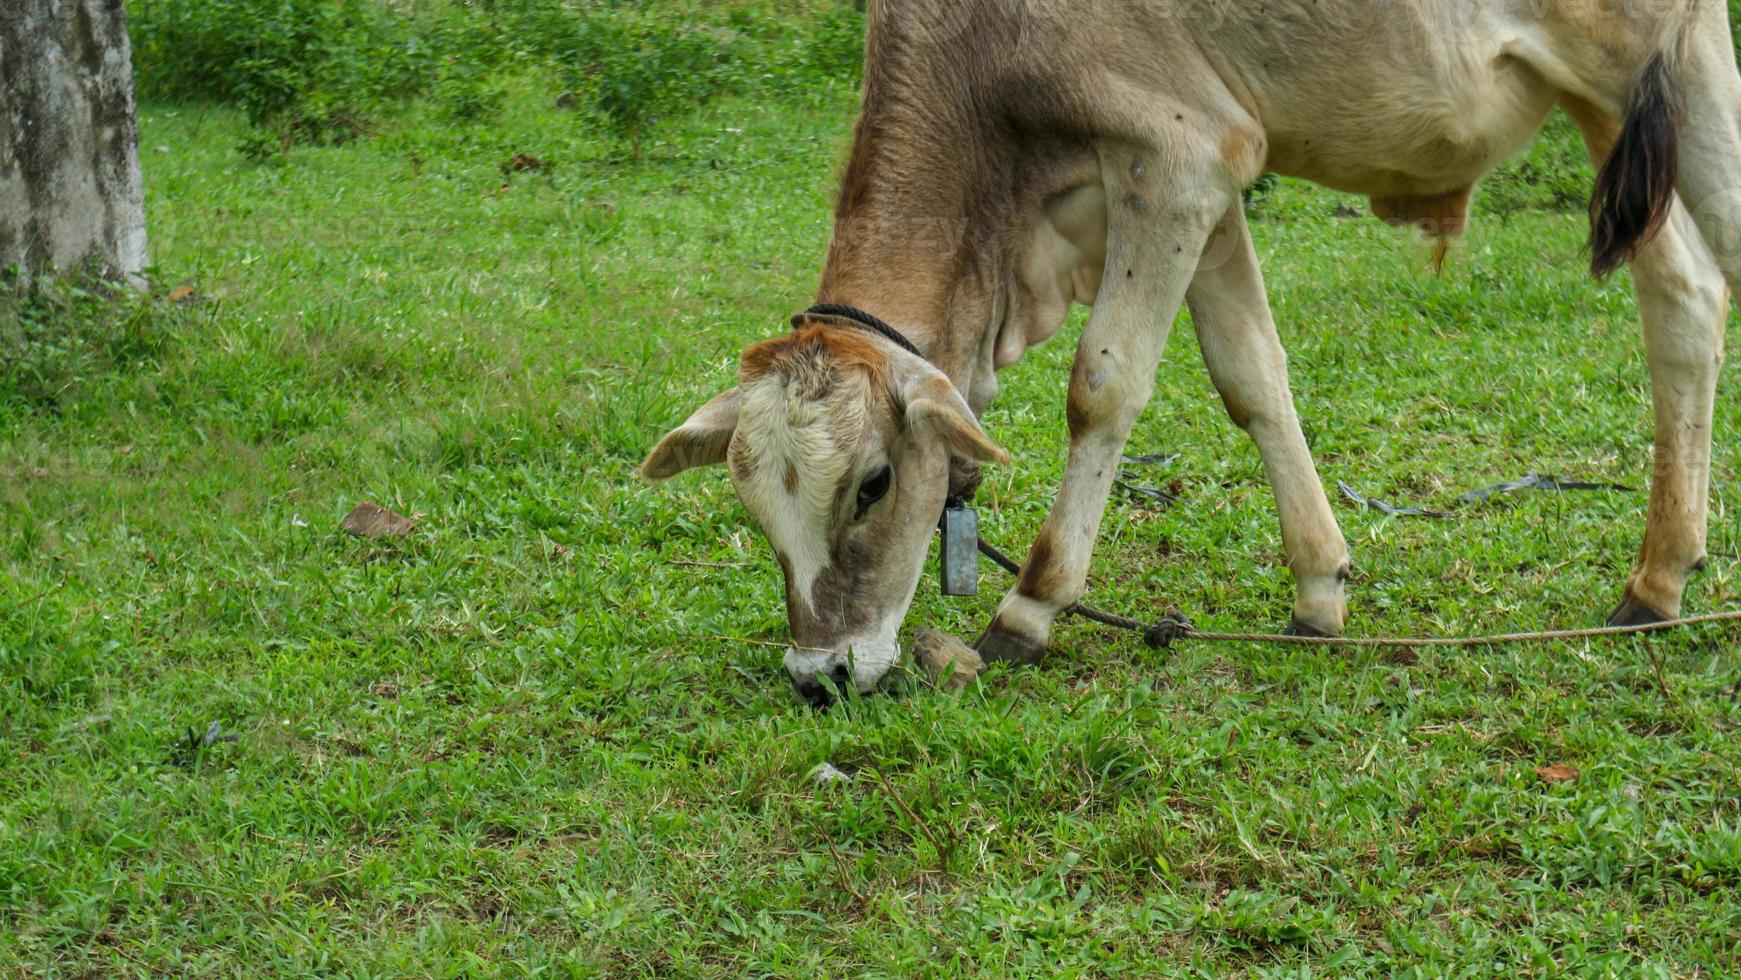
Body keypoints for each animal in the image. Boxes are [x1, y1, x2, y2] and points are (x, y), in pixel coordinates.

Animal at [647, 0, 1741, 706]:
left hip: (1671, 65)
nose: (820, 678)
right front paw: (1318, 592)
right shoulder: (1207, 181)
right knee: (1683, 301)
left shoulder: (1174, 161)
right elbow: (1249, 373)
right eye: (755, 508)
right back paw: (1655, 580)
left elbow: (1104, 385)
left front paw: (1029, 607)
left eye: (872, 485)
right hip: (1606, 104)